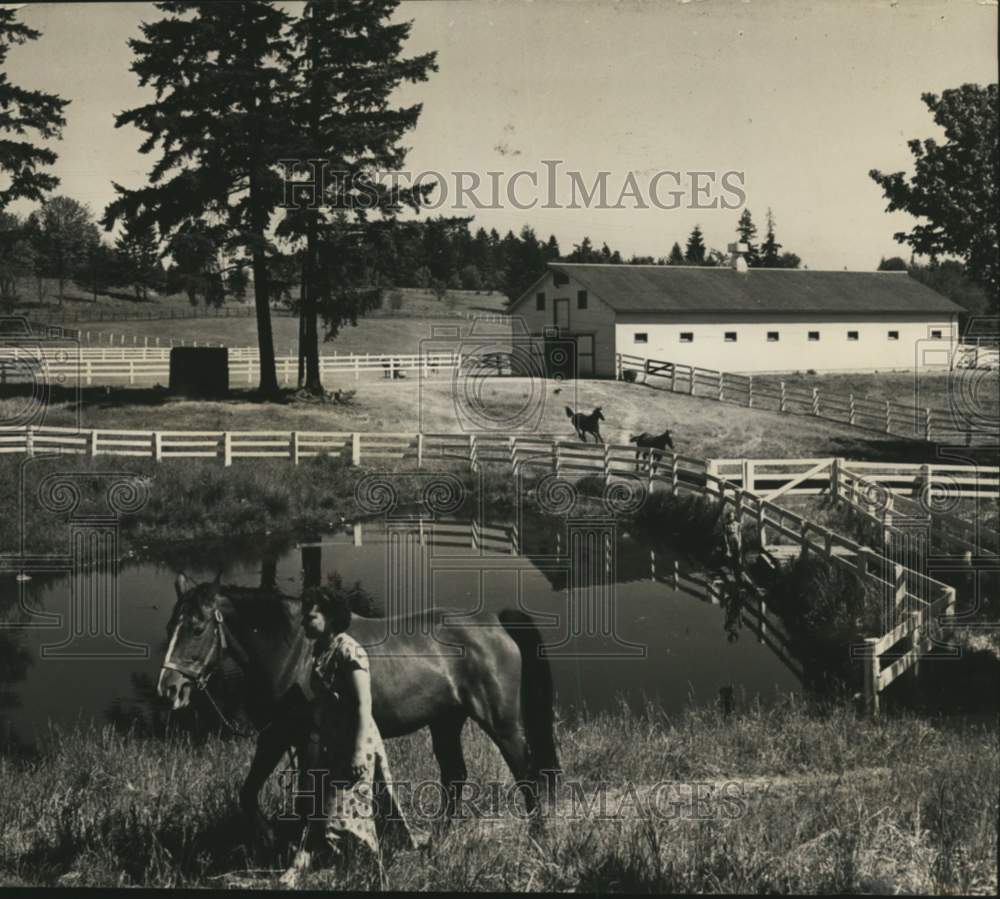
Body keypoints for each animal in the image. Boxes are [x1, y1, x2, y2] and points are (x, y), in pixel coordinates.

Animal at [160, 572, 560, 856]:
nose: (169, 688)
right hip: (446, 721)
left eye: (197, 627)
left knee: (526, 772)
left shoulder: (307, 740)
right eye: (170, 627)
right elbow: (249, 792)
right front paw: (271, 838)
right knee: (454, 775)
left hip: (501, 723)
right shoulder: (277, 735)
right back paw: (441, 837)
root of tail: (496, 621)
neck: (295, 652)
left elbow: (305, 798)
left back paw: (538, 838)